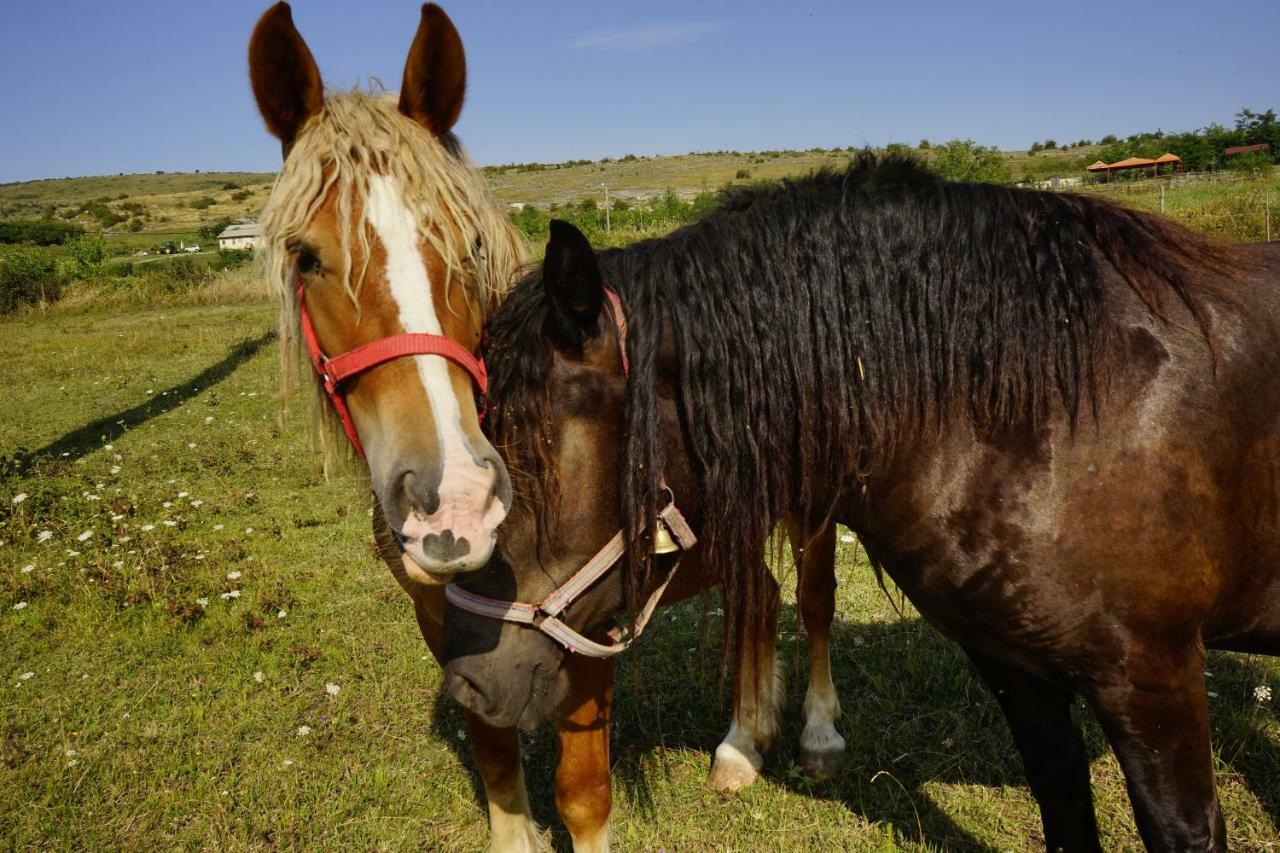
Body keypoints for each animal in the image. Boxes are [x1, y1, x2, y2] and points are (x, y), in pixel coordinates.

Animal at [448, 156, 1280, 845]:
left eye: (537, 444)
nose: (468, 677)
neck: (1061, 408)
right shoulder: (1021, 674)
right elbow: (1066, 814)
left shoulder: (1154, 680)